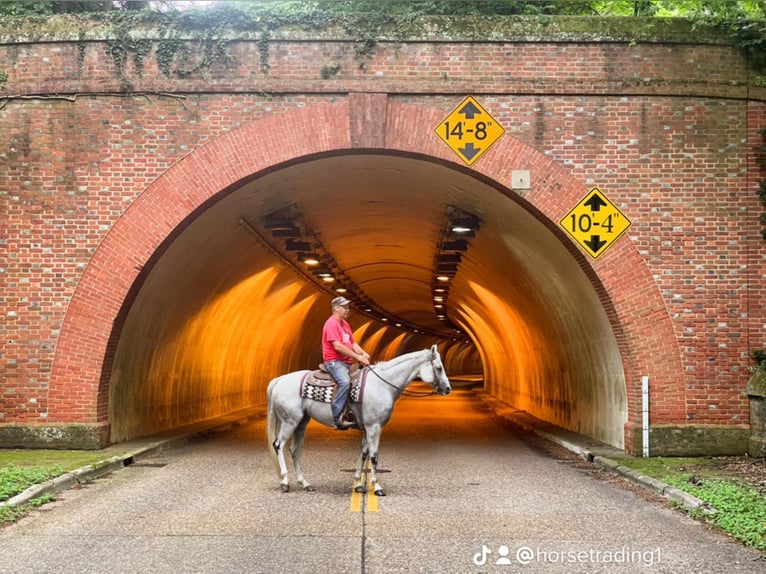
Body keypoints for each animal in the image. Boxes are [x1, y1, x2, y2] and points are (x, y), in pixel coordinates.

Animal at [268, 346, 452, 500]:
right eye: (438, 367)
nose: (448, 389)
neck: (382, 385)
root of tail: (279, 380)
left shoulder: (366, 428)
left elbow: (363, 454)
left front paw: (357, 484)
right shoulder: (374, 427)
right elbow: (374, 456)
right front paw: (377, 487)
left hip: (301, 422)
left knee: (294, 450)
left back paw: (305, 483)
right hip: (290, 421)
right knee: (278, 445)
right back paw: (285, 482)